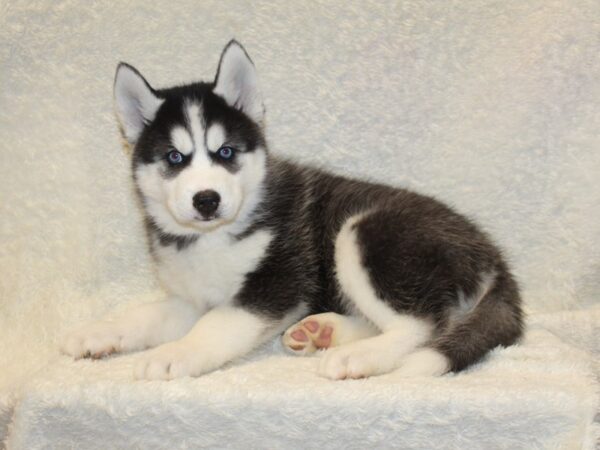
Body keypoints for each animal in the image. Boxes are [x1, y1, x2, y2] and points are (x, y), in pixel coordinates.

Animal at [59, 41, 520, 380]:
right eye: (174, 158)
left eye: (226, 152)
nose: (206, 199)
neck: (213, 240)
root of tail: (493, 256)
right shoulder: (191, 299)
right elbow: (142, 315)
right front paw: (97, 332)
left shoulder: (275, 285)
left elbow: (214, 326)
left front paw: (175, 354)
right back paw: (323, 331)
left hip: (363, 234)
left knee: (422, 325)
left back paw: (359, 356)